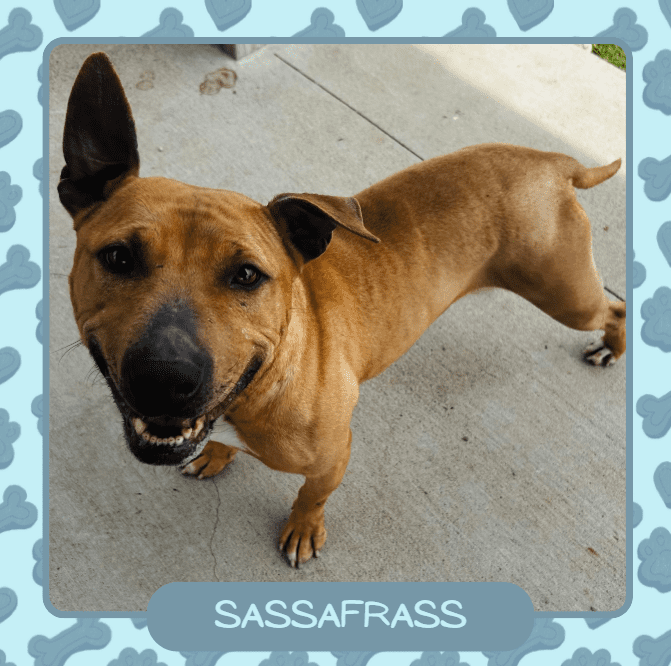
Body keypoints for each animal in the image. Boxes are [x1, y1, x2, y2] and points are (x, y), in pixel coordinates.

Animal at [59, 52, 625, 568]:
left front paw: (303, 529)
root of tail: (553, 161)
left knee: (613, 310)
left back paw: (610, 349)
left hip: (565, 293)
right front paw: (218, 454)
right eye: (118, 257)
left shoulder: (333, 454)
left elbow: (312, 495)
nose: (164, 377)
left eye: (247, 275)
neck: (264, 381)